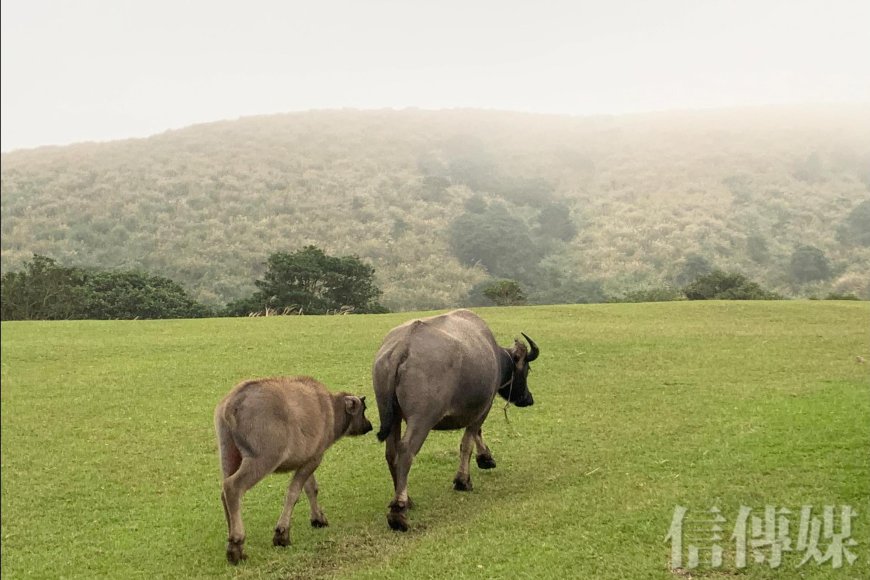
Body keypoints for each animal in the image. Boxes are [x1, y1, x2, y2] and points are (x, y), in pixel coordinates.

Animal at [216, 376, 372, 560]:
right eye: (363, 410)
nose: (369, 425)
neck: (332, 412)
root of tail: (232, 404)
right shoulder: (315, 458)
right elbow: (293, 493)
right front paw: (282, 535)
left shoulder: (307, 460)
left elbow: (311, 488)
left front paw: (318, 519)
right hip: (263, 459)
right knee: (233, 487)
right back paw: (237, 543)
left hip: (229, 455)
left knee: (224, 493)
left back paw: (234, 542)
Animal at [372, 308, 540, 532]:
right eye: (527, 370)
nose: (528, 398)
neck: (495, 355)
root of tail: (403, 345)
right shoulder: (484, 405)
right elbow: (468, 441)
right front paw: (463, 480)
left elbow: (476, 434)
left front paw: (486, 458)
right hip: (422, 418)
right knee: (406, 451)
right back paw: (398, 511)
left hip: (391, 414)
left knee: (391, 453)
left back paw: (407, 499)